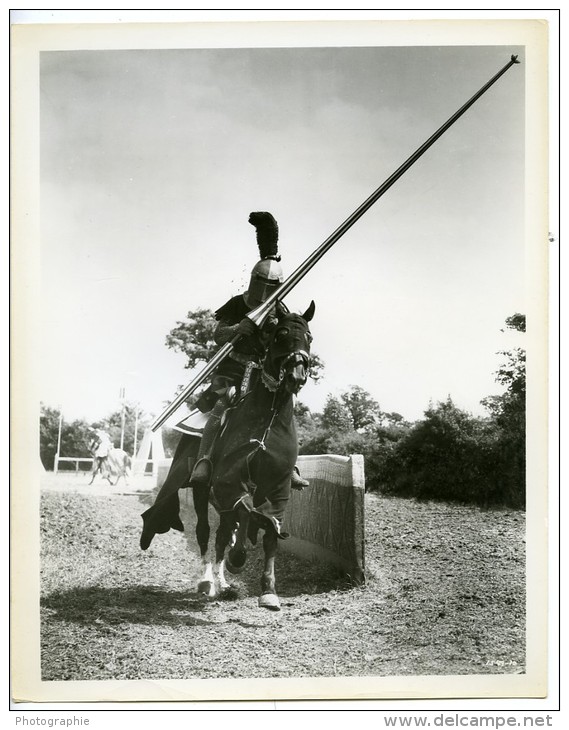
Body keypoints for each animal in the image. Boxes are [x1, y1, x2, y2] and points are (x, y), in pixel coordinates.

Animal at [195, 300, 316, 608]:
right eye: (281, 333)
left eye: (309, 337)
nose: (297, 375)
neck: (268, 419)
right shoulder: (228, 482)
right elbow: (247, 511)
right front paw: (238, 558)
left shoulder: (277, 489)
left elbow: (269, 527)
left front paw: (269, 590)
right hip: (201, 492)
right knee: (207, 533)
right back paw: (209, 581)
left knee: (225, 531)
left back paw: (224, 581)